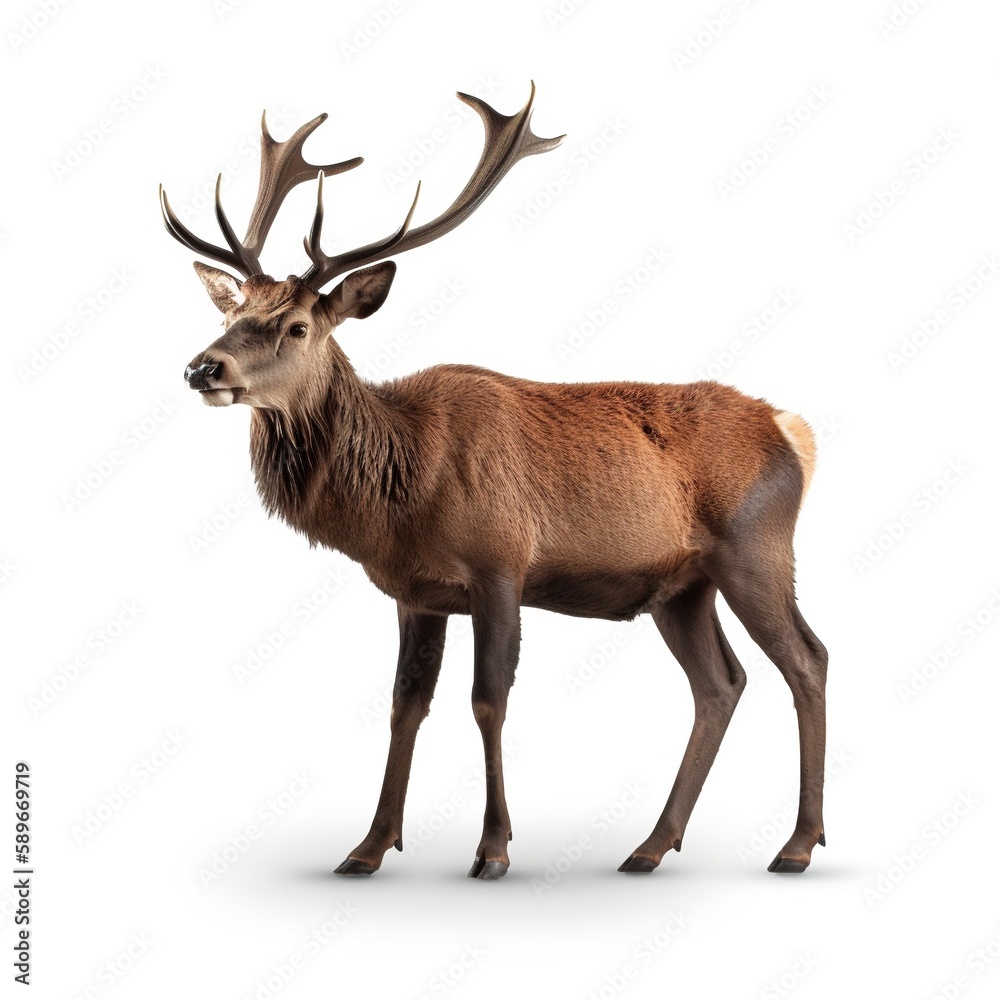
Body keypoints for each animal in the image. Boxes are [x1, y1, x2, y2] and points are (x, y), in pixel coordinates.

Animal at [160, 84, 828, 880]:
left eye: (295, 326)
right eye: (235, 310)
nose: (203, 367)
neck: (400, 494)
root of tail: (794, 431)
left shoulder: (500, 563)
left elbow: (488, 699)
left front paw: (494, 847)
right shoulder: (417, 591)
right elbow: (404, 705)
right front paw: (368, 847)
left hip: (756, 550)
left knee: (807, 660)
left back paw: (796, 844)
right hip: (681, 586)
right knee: (721, 683)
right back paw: (650, 845)